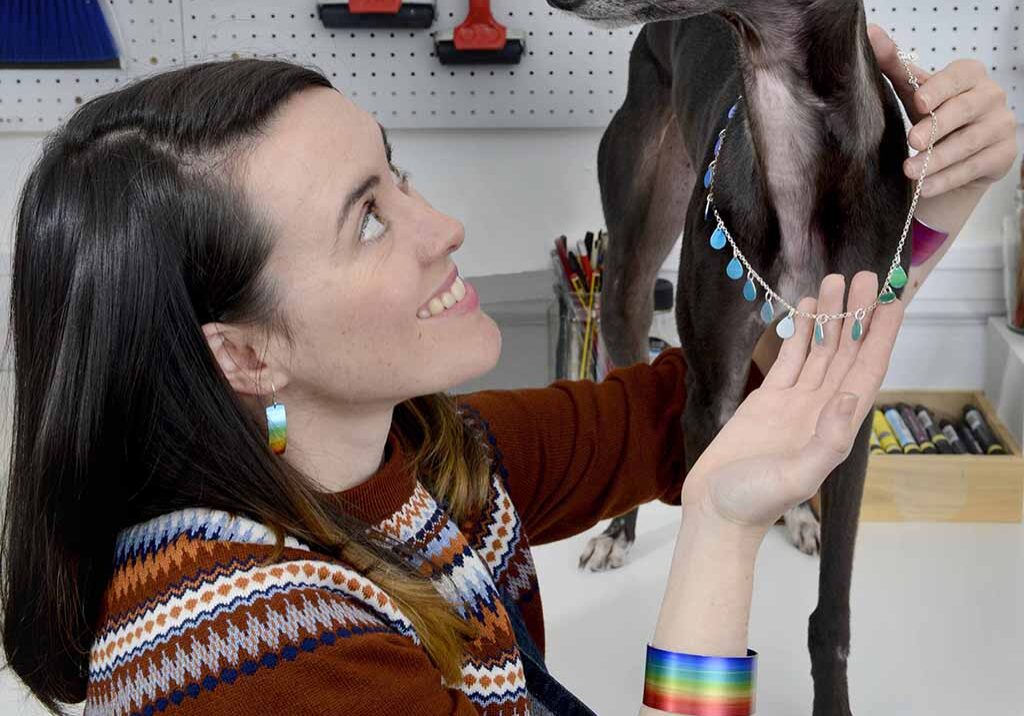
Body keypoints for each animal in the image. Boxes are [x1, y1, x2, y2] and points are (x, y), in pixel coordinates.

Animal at [548, 1, 909, 716]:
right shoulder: (709, 395)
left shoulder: (852, 395)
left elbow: (833, 612)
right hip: (630, 264)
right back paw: (620, 531)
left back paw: (799, 514)